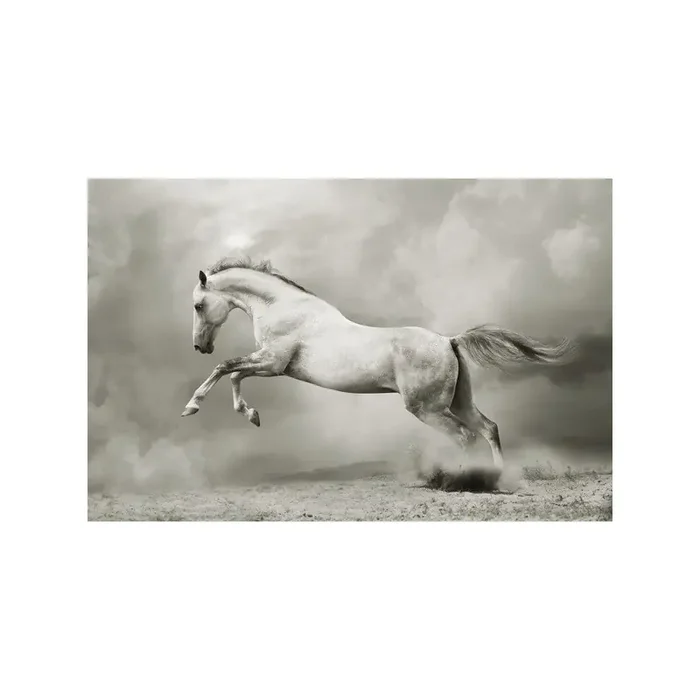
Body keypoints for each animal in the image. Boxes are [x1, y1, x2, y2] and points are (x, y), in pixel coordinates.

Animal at [181, 257, 573, 484]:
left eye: (199, 305)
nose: (200, 346)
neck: (283, 308)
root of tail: (449, 341)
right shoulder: (270, 364)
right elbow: (234, 374)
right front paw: (252, 415)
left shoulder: (273, 362)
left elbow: (225, 368)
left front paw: (192, 406)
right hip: (458, 402)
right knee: (489, 429)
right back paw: (496, 478)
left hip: (427, 408)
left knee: (466, 437)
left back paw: (458, 481)